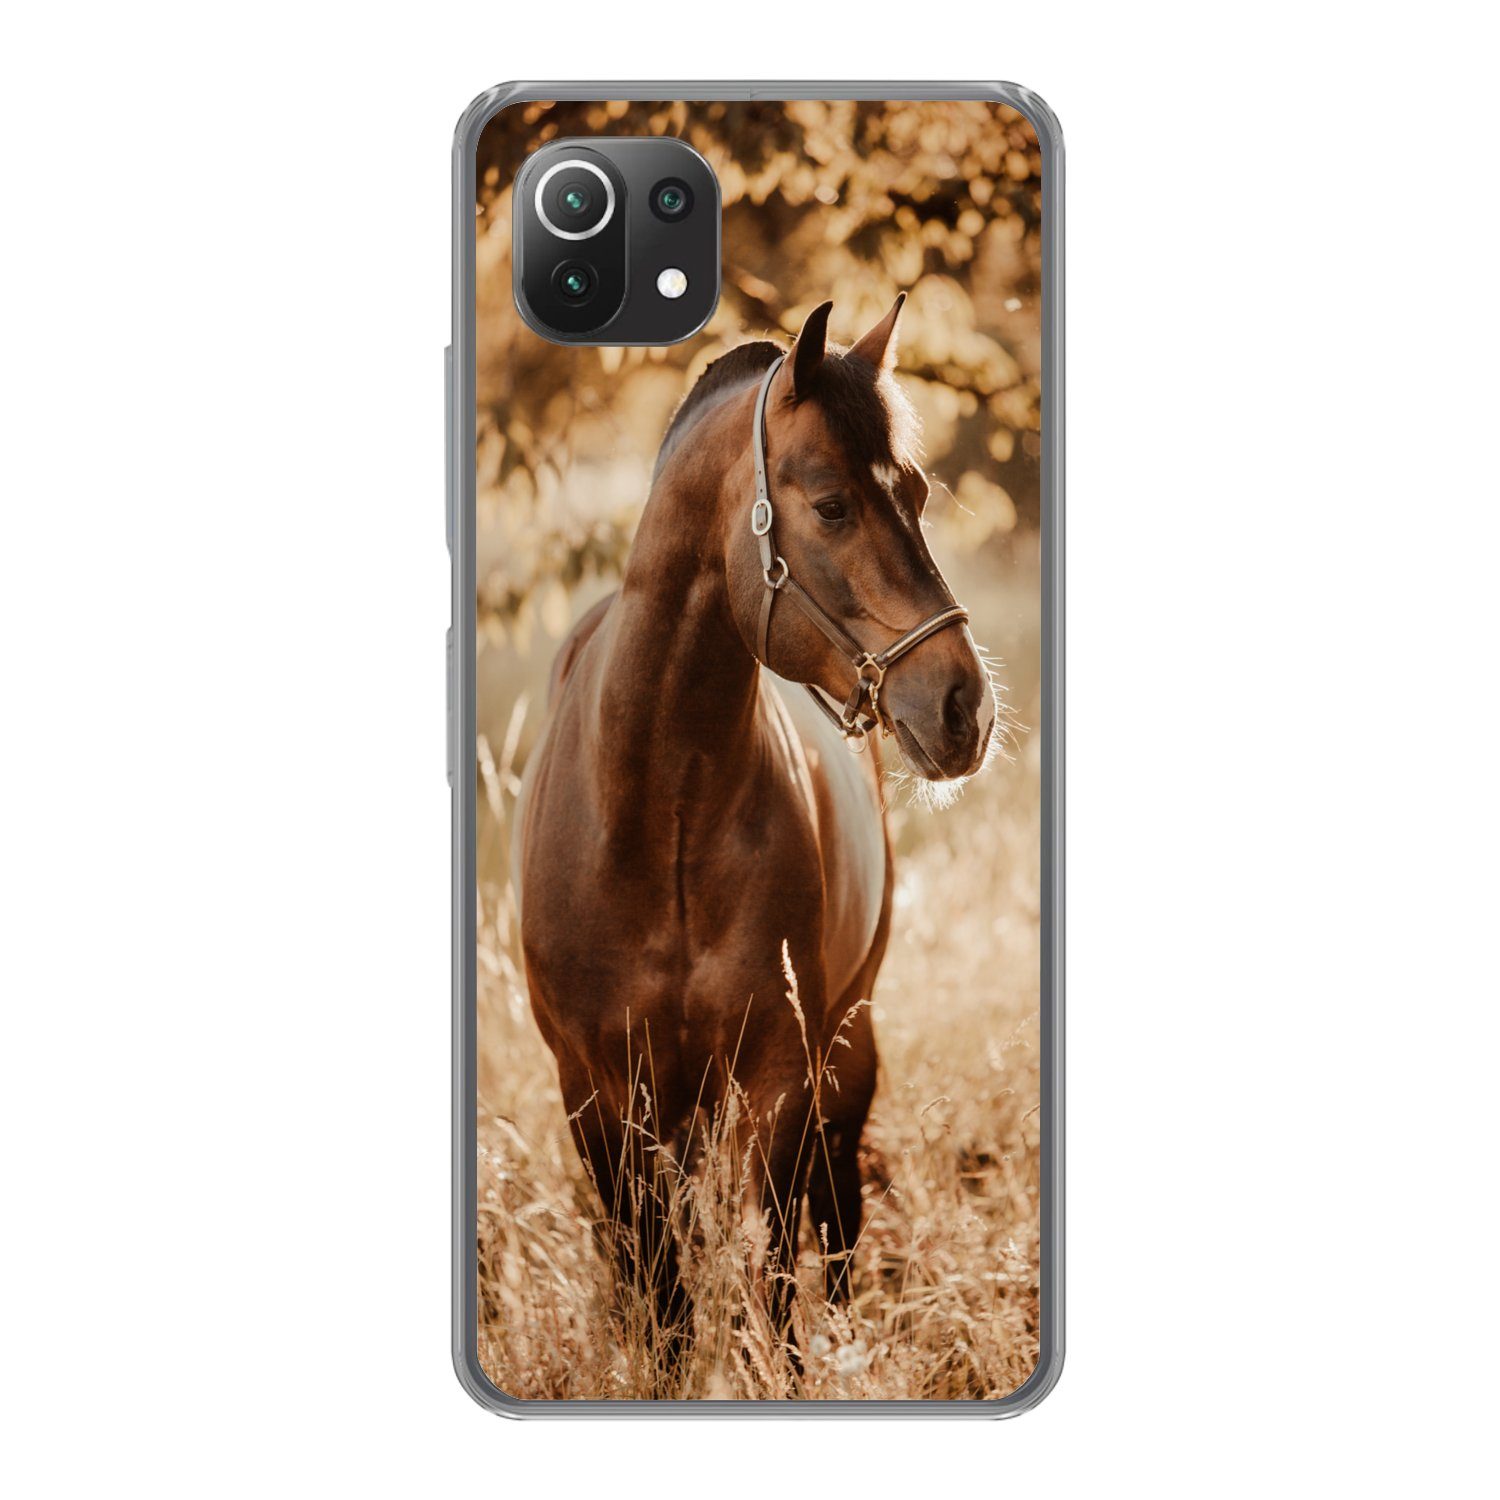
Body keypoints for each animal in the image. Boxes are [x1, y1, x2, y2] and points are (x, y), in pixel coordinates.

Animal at [515, 294, 996, 1366]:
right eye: (832, 506)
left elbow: (773, 1283)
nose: (965, 708)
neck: (658, 816)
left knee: (836, 1221)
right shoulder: (598, 1095)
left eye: (918, 490)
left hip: (844, 1054)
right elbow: (661, 1300)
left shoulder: (779, 1078)